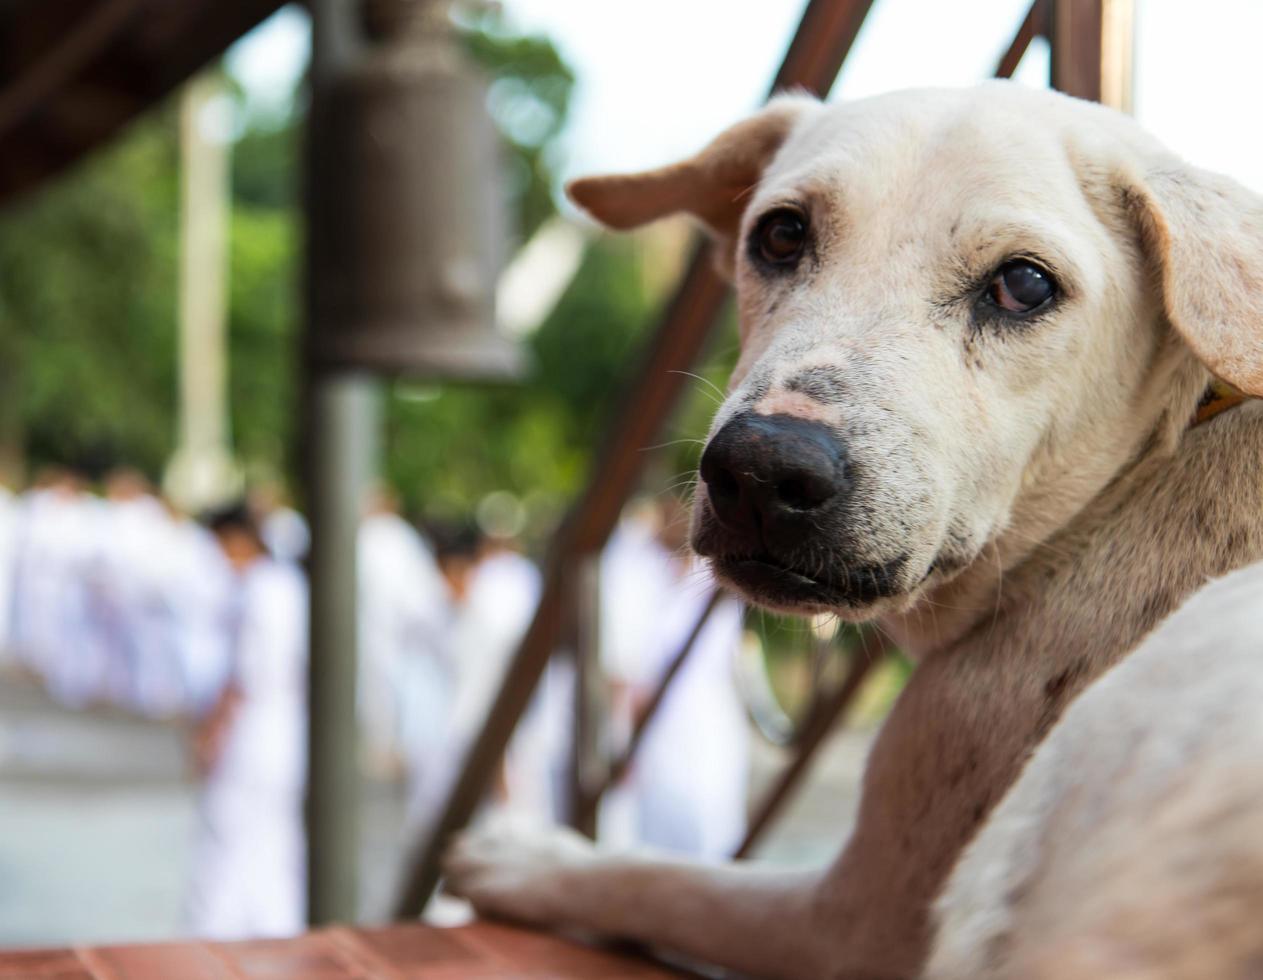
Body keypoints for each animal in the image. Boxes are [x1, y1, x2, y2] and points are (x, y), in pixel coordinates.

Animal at [442, 85, 1263, 980]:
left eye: (1022, 284)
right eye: (779, 234)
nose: (762, 471)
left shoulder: (854, 917)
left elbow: (656, 876)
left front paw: (525, 858)